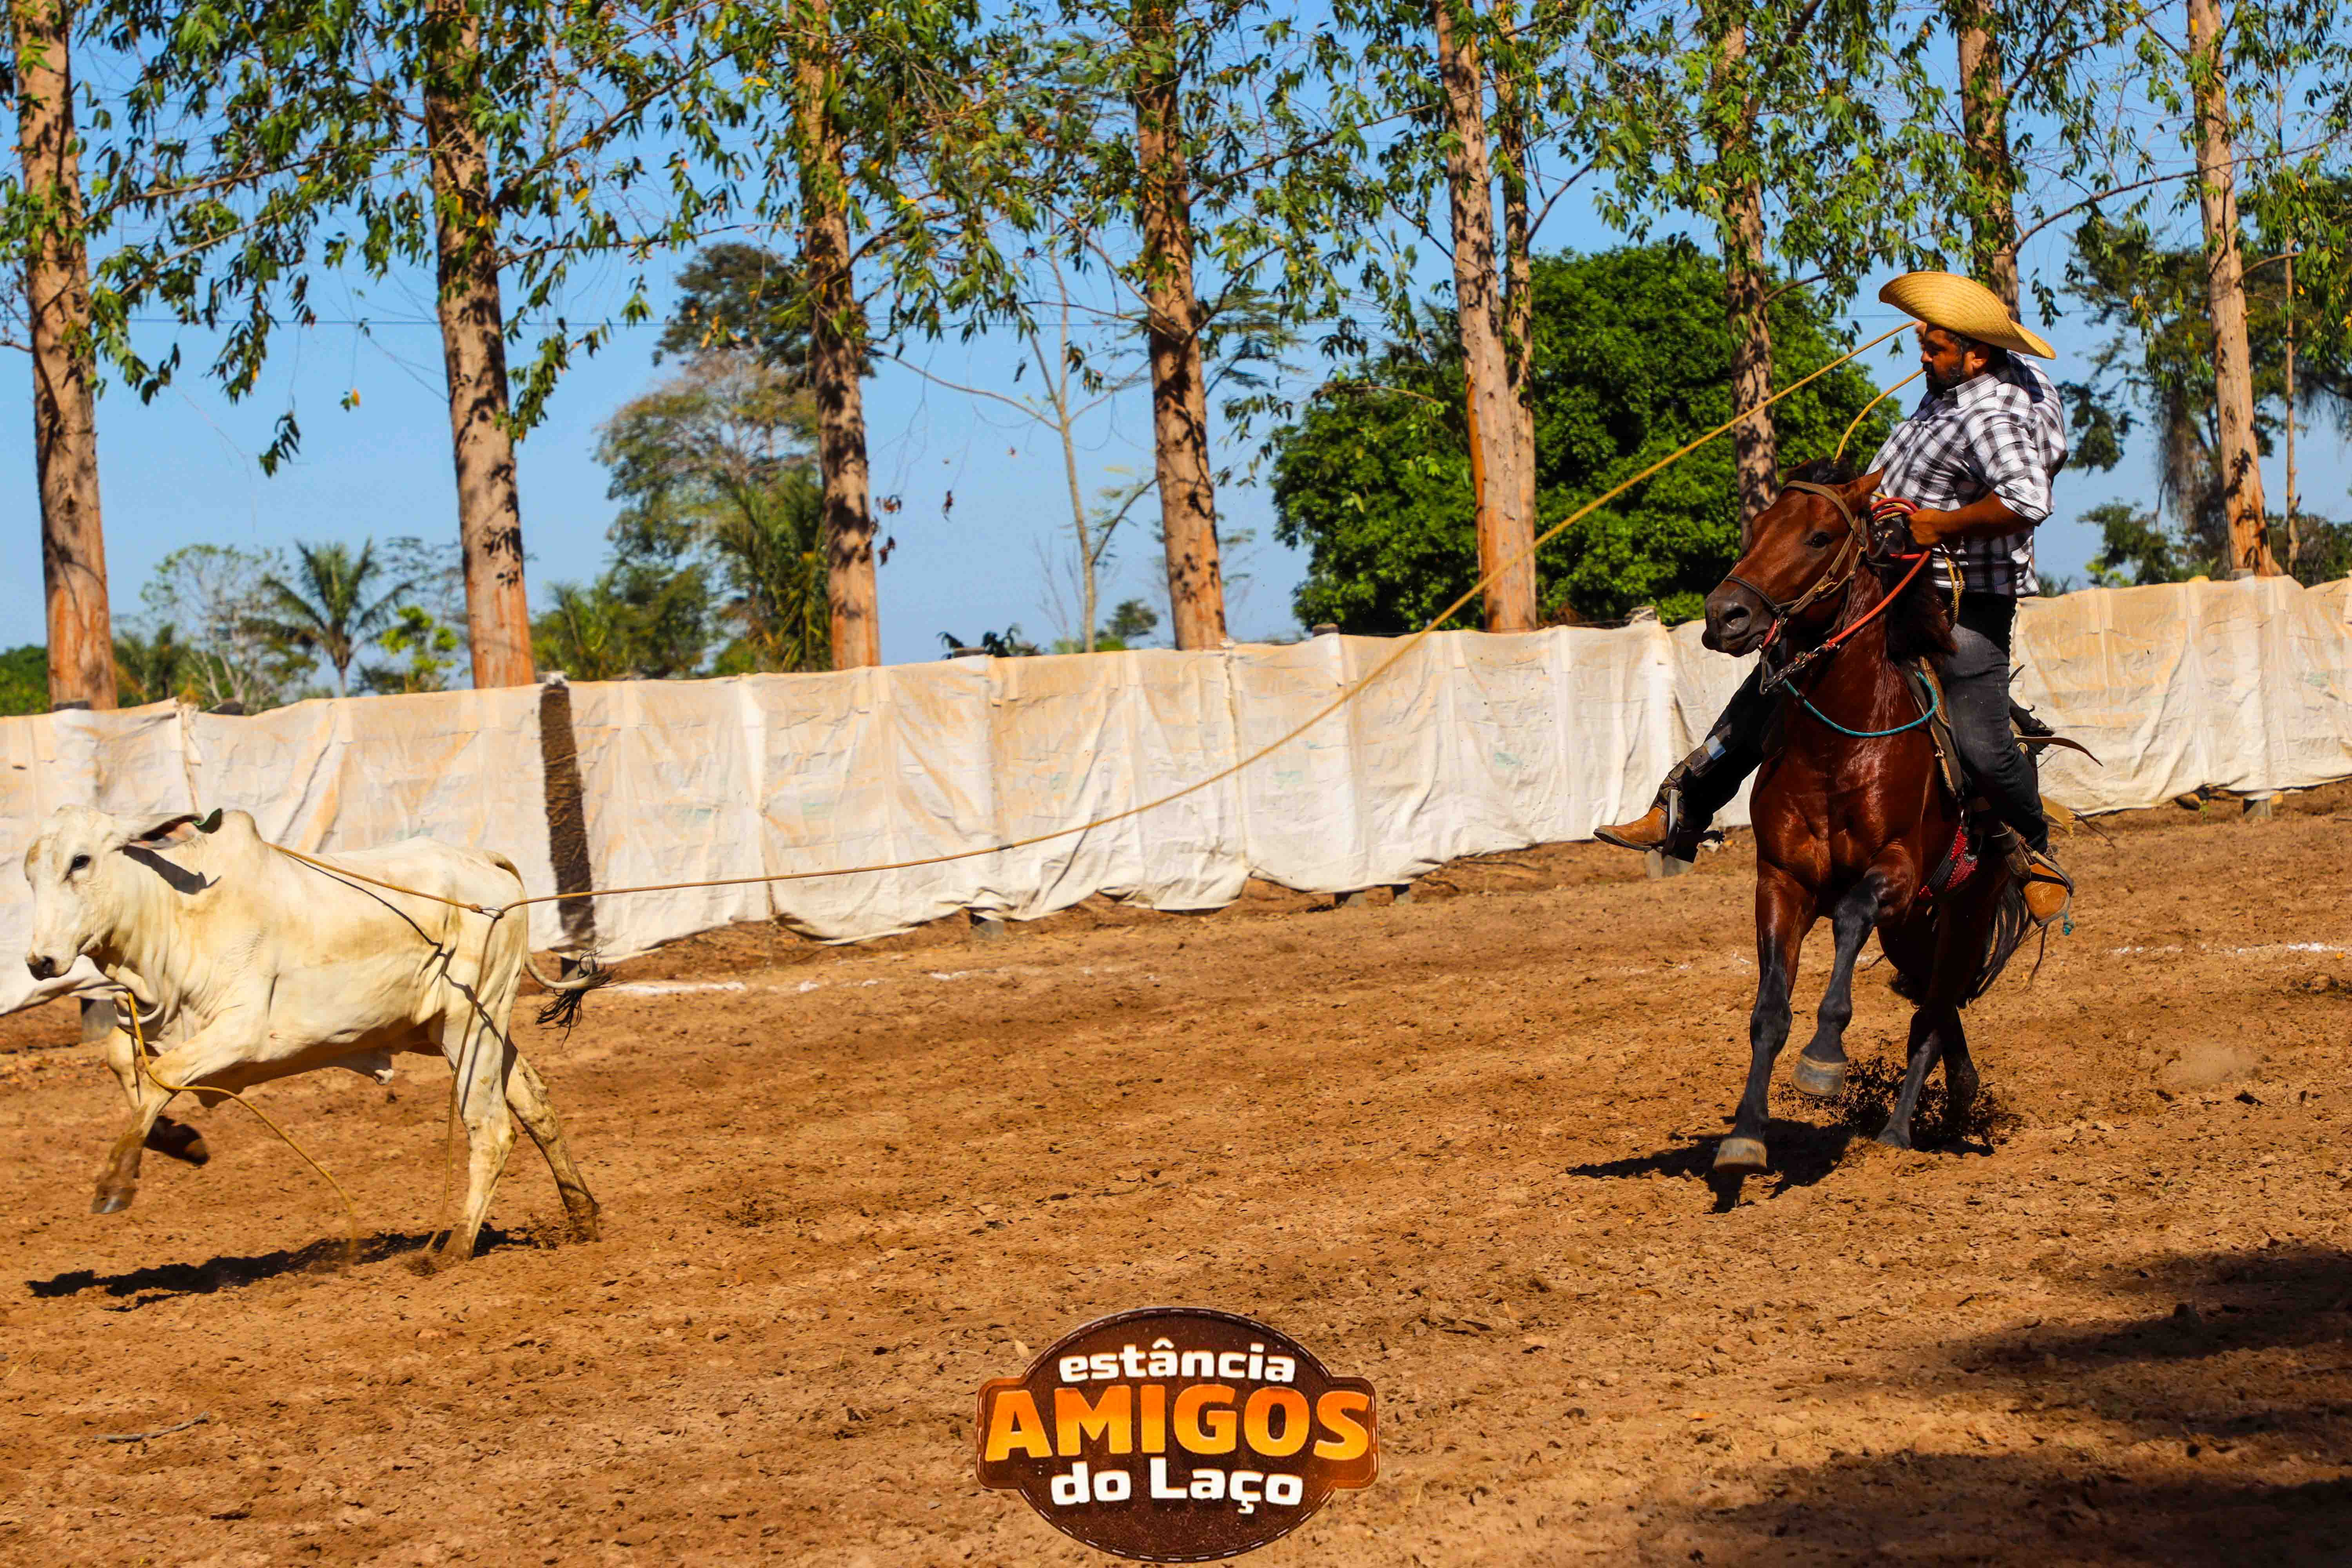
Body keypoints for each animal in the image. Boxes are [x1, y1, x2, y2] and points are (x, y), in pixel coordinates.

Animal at [1700, 459, 2032, 1172]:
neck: (1838, 749)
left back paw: (1900, 1132)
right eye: (1757, 529)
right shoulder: (1782, 881)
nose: (1724, 615)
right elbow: (1769, 1011)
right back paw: (1959, 1094)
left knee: (1932, 1014)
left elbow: (1851, 915)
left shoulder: (1897, 871)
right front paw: (1745, 1134)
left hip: (1962, 910)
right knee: (1934, 1005)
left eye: (1819, 537)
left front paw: (1824, 1060)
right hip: (1911, 928)